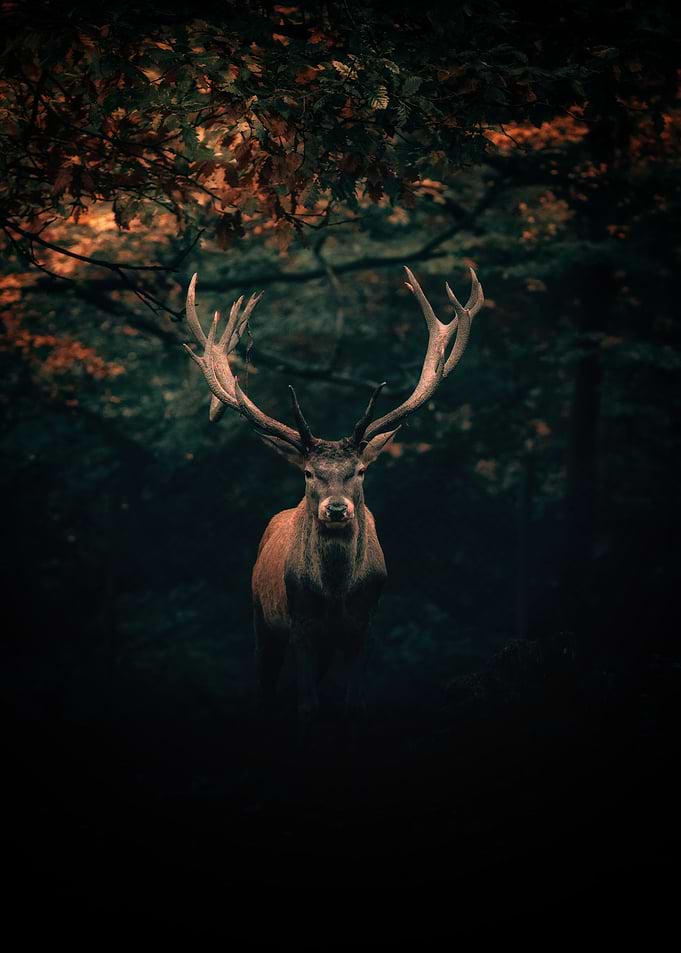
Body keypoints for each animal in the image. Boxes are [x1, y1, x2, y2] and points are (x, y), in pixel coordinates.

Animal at [183, 266, 483, 720]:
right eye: (309, 473)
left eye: (359, 470)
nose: (337, 509)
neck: (337, 593)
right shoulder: (300, 624)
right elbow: (307, 704)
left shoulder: (366, 625)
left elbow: (353, 701)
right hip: (260, 617)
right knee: (266, 687)